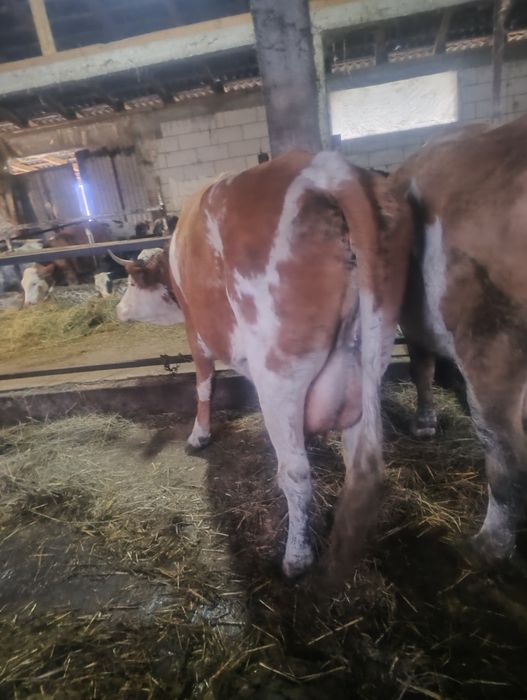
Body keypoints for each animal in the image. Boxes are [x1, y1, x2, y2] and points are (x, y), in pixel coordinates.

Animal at [112, 150, 412, 577]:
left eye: (134, 284)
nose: (118, 310)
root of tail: (329, 172)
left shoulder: (195, 331)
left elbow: (203, 383)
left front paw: (199, 435)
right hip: (373, 351)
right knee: (360, 463)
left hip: (279, 371)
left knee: (297, 472)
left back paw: (296, 557)